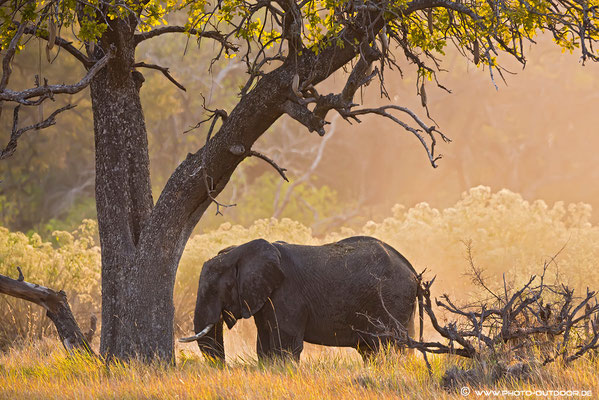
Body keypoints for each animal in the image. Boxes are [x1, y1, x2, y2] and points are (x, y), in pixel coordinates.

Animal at [180, 236, 424, 360]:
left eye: (215, 290)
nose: (225, 368)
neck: (240, 249)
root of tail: (412, 270)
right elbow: (264, 346)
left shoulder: (287, 293)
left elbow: (285, 346)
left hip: (392, 299)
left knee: (390, 346)